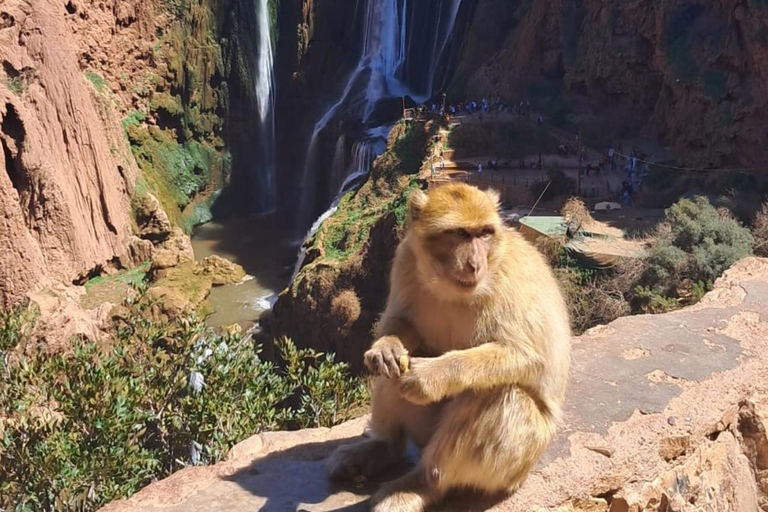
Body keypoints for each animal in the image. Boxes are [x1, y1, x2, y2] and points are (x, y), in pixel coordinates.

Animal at [324, 182, 568, 510]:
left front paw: (429, 377)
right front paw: (386, 348)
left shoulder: (509, 282)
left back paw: (422, 483)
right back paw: (383, 448)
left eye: (485, 233)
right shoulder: (405, 259)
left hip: (518, 463)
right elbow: (401, 326)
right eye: (460, 234)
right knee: (391, 375)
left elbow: (528, 357)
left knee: (499, 395)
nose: (475, 264)